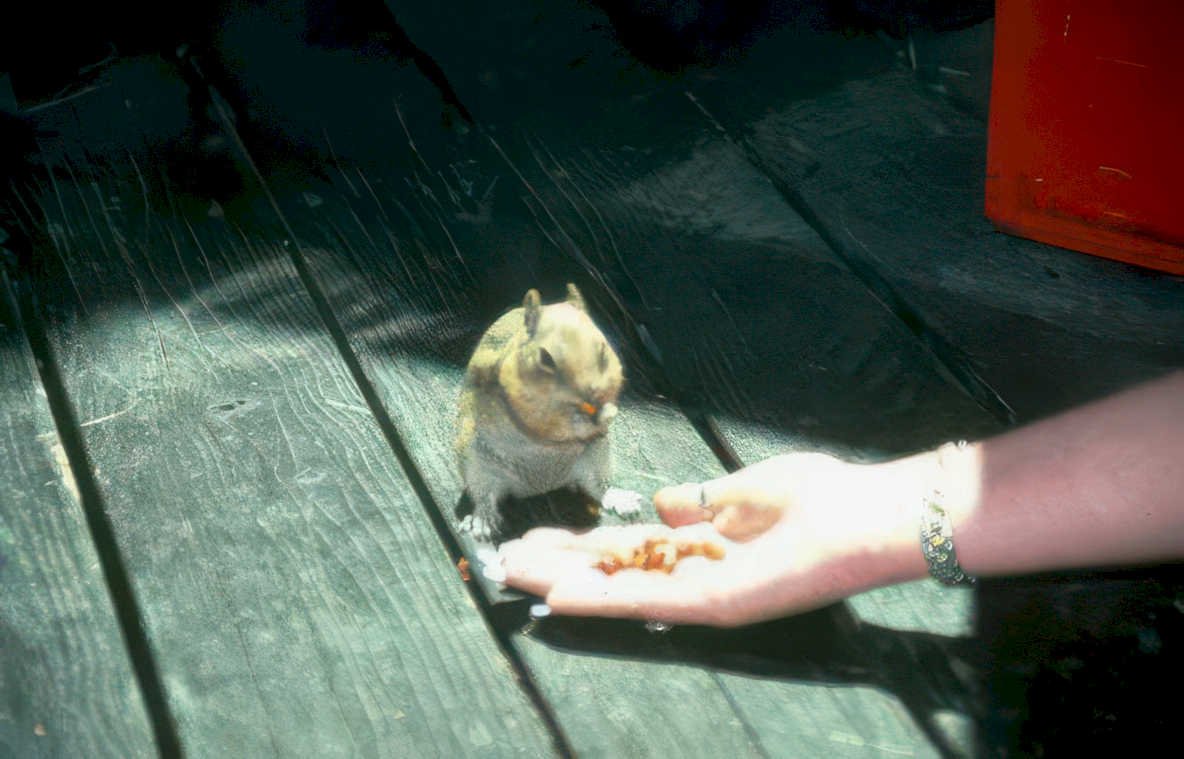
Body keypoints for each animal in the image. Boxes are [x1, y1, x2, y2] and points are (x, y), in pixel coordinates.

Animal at [456, 283, 624, 541]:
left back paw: (617, 498)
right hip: (476, 465)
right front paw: (587, 419)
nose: (593, 395)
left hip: (596, 458)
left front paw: (607, 411)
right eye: (546, 358)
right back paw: (483, 520)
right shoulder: (522, 401)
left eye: (603, 350)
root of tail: (537, 488)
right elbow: (547, 422)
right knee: (484, 496)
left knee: (597, 486)